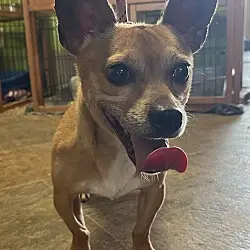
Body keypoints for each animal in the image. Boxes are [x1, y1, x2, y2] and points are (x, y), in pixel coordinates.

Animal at [51, 0, 218, 249]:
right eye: (118, 72)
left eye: (182, 71)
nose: (169, 116)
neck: (116, 152)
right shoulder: (61, 197)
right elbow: (80, 230)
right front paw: (79, 244)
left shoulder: (154, 190)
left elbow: (141, 228)